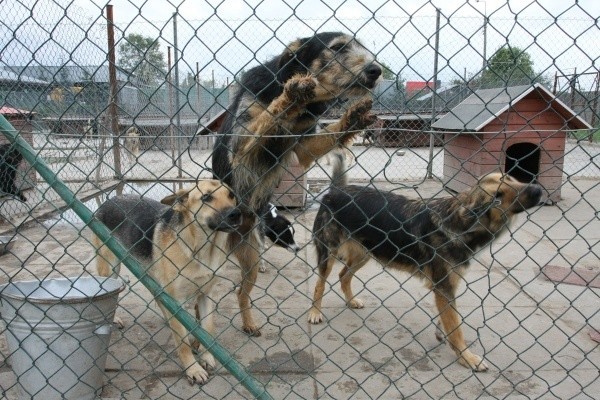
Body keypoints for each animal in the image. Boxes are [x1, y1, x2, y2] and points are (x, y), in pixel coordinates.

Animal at [92, 180, 240, 384]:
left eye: (231, 195)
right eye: (206, 197)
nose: (236, 214)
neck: (200, 249)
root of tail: (110, 199)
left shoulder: (206, 295)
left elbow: (208, 329)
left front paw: (207, 356)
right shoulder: (176, 300)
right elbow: (182, 341)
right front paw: (193, 368)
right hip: (111, 267)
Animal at [211, 32, 380, 336]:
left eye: (363, 47)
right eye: (338, 47)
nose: (377, 70)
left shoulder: (303, 148)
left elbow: (332, 132)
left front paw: (354, 116)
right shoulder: (241, 146)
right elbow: (268, 116)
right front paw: (290, 94)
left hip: (250, 257)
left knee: (241, 293)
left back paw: (249, 324)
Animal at [310, 156, 544, 372]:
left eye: (511, 179)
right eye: (497, 196)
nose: (538, 189)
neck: (461, 224)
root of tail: (335, 191)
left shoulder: (449, 286)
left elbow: (448, 320)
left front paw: (447, 338)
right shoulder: (443, 287)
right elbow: (456, 327)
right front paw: (466, 357)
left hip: (366, 253)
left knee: (343, 276)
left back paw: (351, 301)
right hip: (329, 254)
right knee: (320, 284)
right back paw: (314, 312)